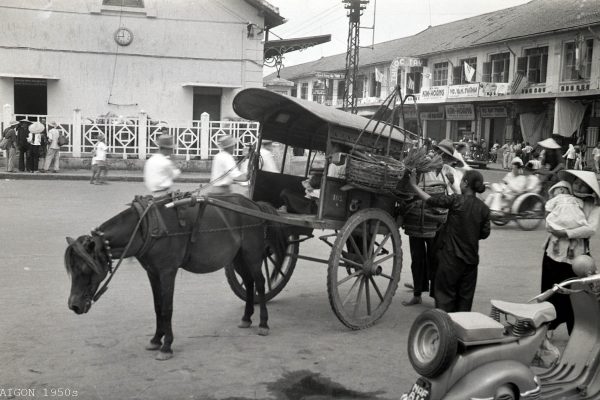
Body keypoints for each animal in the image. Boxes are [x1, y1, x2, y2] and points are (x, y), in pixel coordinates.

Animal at [63, 192, 286, 360]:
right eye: (71, 270)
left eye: (85, 269)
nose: (74, 306)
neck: (146, 226)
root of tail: (253, 204)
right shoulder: (153, 272)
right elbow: (157, 306)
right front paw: (156, 339)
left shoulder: (167, 271)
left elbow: (167, 308)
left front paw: (166, 346)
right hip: (237, 257)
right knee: (248, 282)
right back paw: (247, 317)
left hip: (252, 254)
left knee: (260, 283)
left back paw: (263, 323)